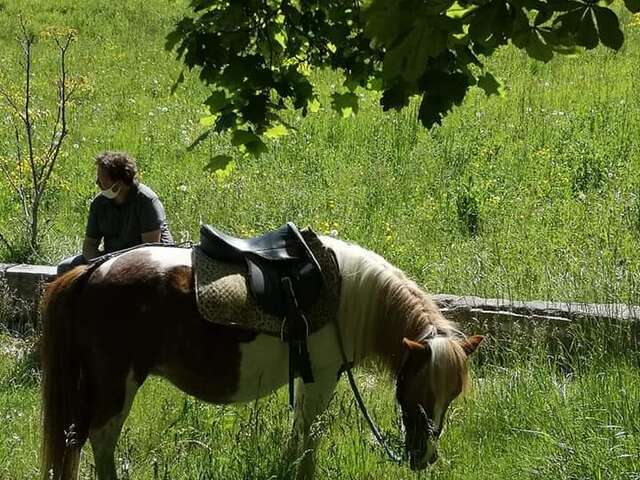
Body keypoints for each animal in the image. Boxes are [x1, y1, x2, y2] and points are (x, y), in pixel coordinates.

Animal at [40, 234, 482, 478]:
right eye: (417, 393)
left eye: (451, 397)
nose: (425, 458)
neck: (346, 295)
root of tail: (93, 270)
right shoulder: (323, 376)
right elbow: (308, 435)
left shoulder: (308, 377)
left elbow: (299, 433)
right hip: (117, 382)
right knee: (101, 439)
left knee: (75, 441)